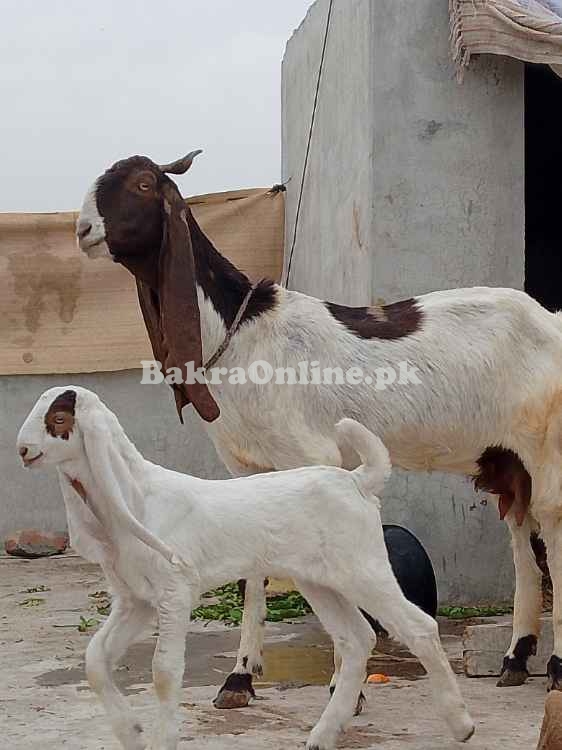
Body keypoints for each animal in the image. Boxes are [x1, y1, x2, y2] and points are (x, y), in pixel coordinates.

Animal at [79, 151, 562, 704]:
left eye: (142, 184)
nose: (83, 228)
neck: (242, 333)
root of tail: (550, 319)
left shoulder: (311, 457)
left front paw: (343, 687)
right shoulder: (249, 468)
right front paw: (239, 676)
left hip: (545, 442)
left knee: (552, 524)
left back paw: (554, 666)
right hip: (505, 456)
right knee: (522, 531)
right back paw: (516, 656)